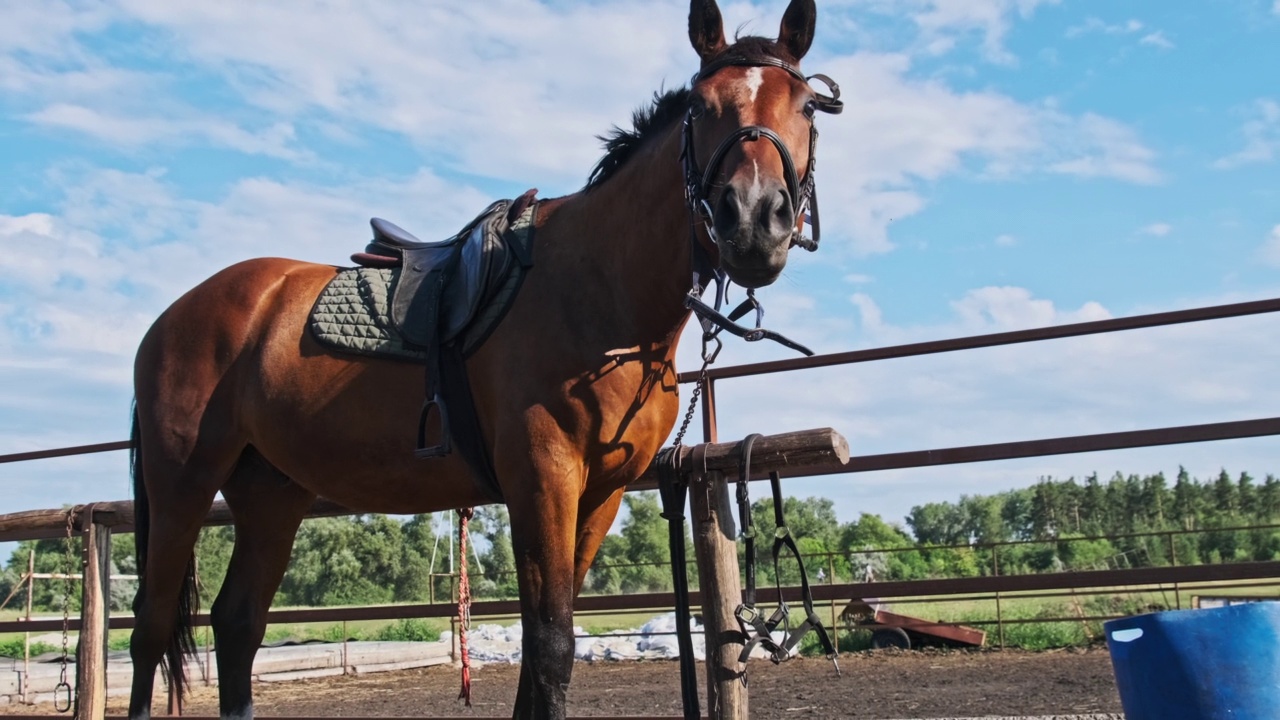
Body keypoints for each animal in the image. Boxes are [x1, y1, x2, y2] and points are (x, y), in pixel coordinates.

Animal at [124, 2, 834, 712]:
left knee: (237, 622)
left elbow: (539, 653)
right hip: (181, 485)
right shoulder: (543, 478)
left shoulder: (598, 494)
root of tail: (176, 315)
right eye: (702, 105)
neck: (600, 288)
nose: (754, 221)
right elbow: (550, 645)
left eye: (805, 107)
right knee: (152, 628)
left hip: (271, 495)